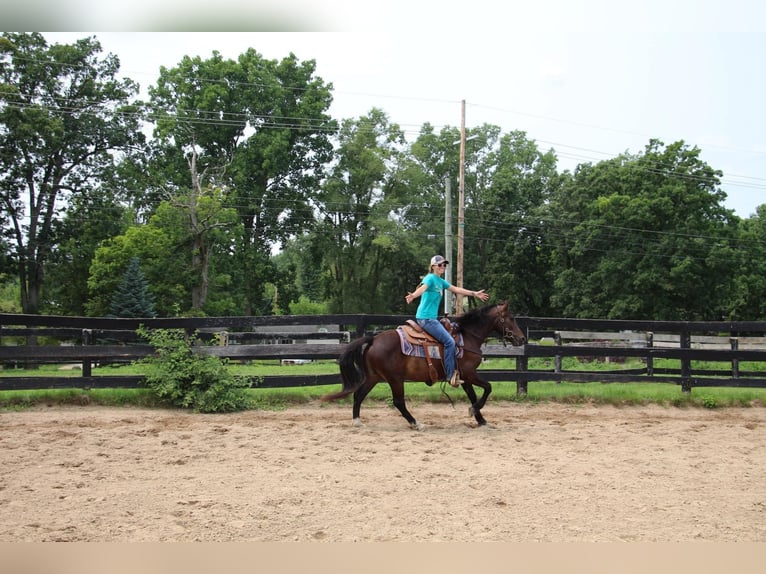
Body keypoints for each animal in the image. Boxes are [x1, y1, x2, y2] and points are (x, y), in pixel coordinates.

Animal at [322, 304, 528, 430]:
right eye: (510, 318)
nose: (522, 339)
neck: (467, 337)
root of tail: (374, 339)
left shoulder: (462, 376)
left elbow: (472, 395)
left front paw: (481, 419)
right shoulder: (470, 374)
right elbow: (487, 388)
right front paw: (475, 412)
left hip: (374, 377)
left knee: (359, 395)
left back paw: (357, 421)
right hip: (395, 379)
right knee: (398, 402)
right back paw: (416, 423)